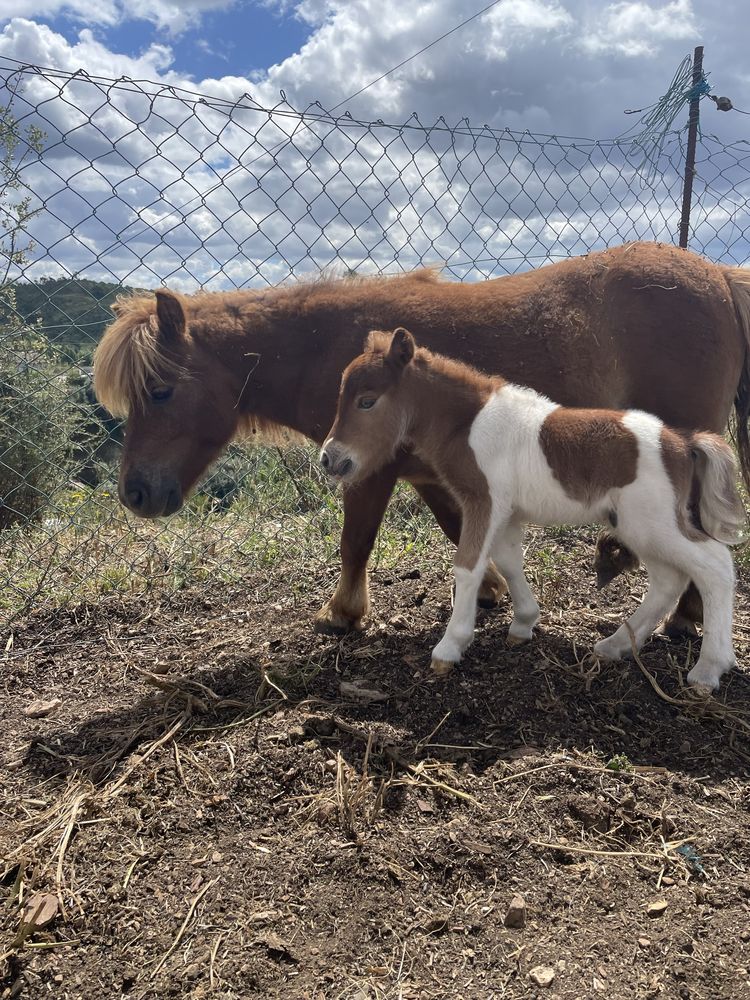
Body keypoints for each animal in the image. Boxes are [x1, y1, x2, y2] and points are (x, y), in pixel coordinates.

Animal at [92, 242, 750, 632]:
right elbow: (461, 530)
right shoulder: (431, 471)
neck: (324, 348)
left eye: (160, 391)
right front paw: (490, 594)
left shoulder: (369, 472)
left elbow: (356, 542)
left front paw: (342, 613)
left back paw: (686, 614)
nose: (134, 493)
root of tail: (716, 274)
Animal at [322, 328, 748, 688]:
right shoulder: (506, 512)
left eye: (367, 402)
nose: (330, 459)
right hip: (637, 526)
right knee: (667, 579)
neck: (468, 425)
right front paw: (523, 624)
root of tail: (683, 443)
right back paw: (615, 646)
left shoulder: (483, 501)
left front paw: (450, 647)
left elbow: (468, 566)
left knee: (715, 566)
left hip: (655, 523)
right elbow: (510, 561)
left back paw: (708, 669)